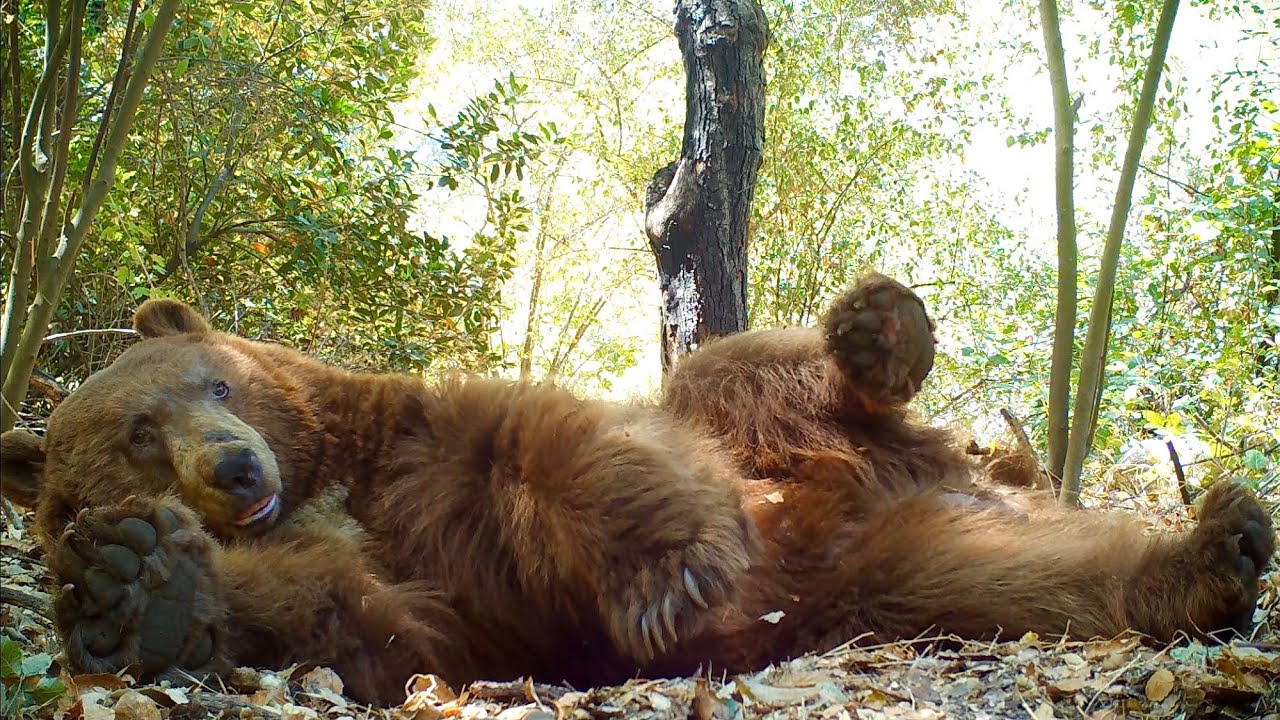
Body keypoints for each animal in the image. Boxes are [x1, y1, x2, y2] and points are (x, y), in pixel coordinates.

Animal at [0, 274, 1274, 706]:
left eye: (219, 378)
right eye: (138, 434)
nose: (236, 465)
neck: (332, 480)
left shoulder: (419, 441)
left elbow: (555, 444)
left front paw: (669, 571)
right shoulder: (444, 595)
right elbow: (373, 627)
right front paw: (138, 584)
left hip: (788, 445)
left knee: (743, 370)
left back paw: (877, 333)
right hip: (893, 572)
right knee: (1024, 578)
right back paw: (1207, 554)